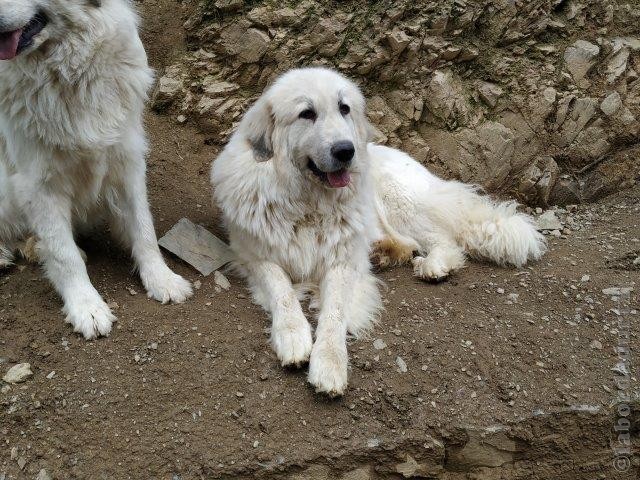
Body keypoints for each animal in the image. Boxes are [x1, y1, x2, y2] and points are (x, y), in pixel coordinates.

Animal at [0, 0, 192, 340]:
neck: (65, 72)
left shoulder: (127, 161)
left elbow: (144, 230)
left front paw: (162, 278)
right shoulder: (38, 184)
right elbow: (64, 255)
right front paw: (86, 307)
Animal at [211, 68, 544, 398]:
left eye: (344, 108)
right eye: (307, 113)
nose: (346, 150)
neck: (308, 204)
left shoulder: (342, 262)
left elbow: (334, 313)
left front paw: (329, 364)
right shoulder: (256, 257)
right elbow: (282, 292)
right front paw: (293, 336)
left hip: (398, 201)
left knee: (441, 239)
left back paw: (433, 265)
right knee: (409, 243)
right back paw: (383, 254)